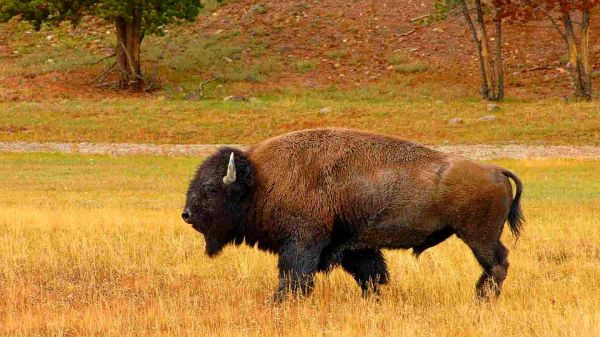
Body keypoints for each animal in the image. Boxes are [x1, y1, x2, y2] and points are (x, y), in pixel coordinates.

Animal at [180, 127, 524, 300]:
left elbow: (294, 275)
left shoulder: (303, 242)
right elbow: (370, 274)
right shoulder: (355, 247)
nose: (186, 214)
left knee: (498, 263)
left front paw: (281, 301)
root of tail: (495, 169)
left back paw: (482, 298)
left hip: (478, 236)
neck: (262, 179)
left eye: (211, 189)